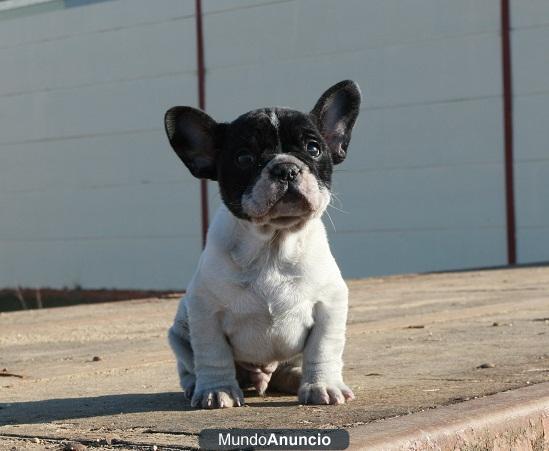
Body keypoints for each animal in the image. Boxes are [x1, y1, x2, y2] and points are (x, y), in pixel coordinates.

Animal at [165, 81, 362, 410]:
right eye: (244, 158)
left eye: (313, 148)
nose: (286, 169)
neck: (273, 245)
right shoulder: (204, 311)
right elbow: (213, 353)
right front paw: (217, 390)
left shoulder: (329, 305)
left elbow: (323, 348)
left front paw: (322, 386)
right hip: (179, 330)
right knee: (190, 366)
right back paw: (196, 386)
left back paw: (295, 377)